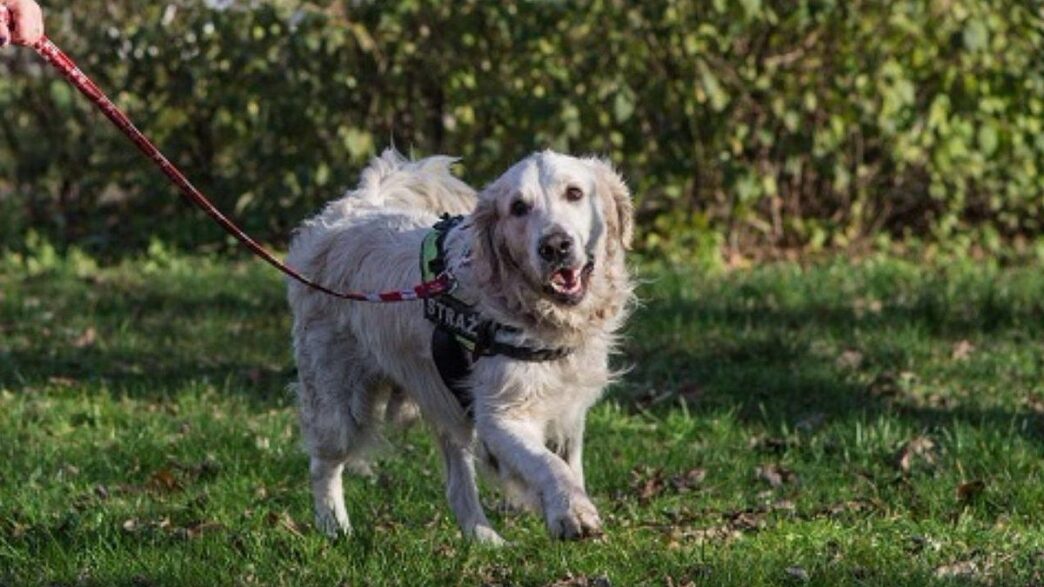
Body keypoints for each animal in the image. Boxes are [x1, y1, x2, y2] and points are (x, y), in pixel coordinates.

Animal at [288, 148, 634, 543]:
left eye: (574, 193)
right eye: (518, 207)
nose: (555, 246)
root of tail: (349, 210)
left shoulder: (569, 405)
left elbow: (569, 462)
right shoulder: (500, 415)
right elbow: (549, 463)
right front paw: (572, 512)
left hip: (446, 404)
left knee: (457, 485)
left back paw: (486, 540)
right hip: (339, 399)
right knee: (324, 464)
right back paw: (335, 529)